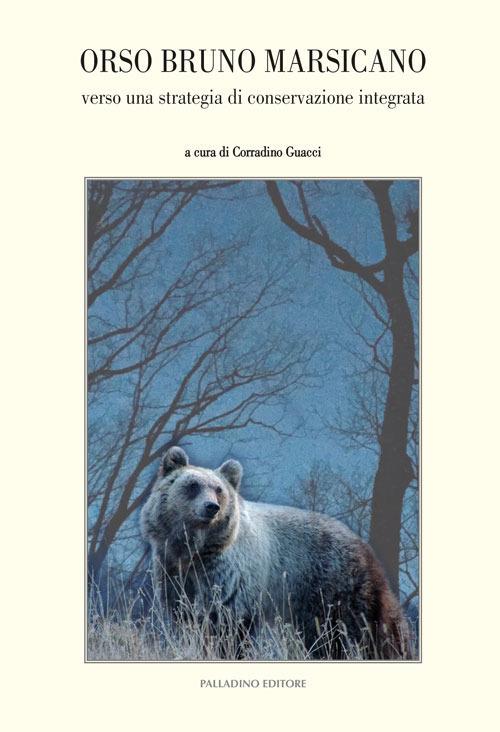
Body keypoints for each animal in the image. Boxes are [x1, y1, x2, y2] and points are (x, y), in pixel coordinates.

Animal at [140, 446, 411, 660]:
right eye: (192, 485)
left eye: (218, 489)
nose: (211, 507)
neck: (195, 550)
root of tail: (361, 542)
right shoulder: (173, 571)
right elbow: (185, 616)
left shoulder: (229, 576)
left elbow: (229, 622)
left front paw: (228, 651)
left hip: (333, 585)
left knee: (364, 628)